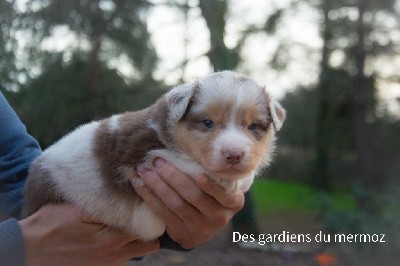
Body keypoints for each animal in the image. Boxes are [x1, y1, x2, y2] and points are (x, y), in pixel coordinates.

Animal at [21, 70, 286, 241]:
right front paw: (237, 180)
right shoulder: (147, 156)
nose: (234, 155)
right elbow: (193, 167)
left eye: (253, 127)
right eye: (208, 123)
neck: (166, 132)